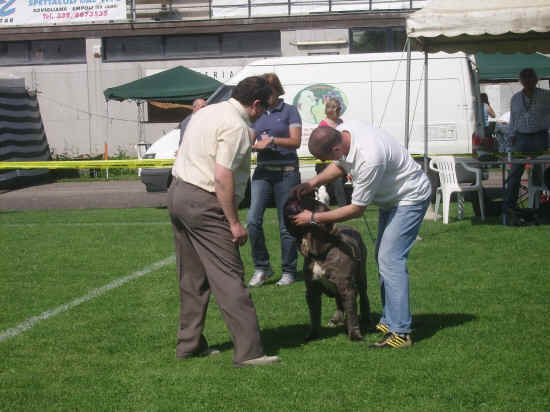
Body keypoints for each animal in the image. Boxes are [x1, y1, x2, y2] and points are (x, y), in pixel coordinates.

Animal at [284, 193, 370, 342]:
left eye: (307, 202)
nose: (292, 196)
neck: (318, 254)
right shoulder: (312, 291)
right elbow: (314, 315)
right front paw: (313, 334)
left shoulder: (346, 287)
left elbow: (352, 314)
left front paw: (355, 335)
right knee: (339, 302)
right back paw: (336, 319)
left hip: (360, 277)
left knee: (363, 297)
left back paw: (365, 318)